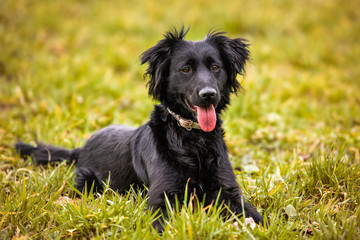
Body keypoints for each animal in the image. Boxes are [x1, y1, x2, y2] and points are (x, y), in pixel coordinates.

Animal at [16, 27, 264, 232]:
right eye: (185, 69)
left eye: (215, 67)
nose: (209, 94)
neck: (192, 139)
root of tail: (81, 148)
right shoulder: (161, 197)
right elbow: (161, 224)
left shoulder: (228, 191)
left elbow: (256, 216)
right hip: (87, 181)